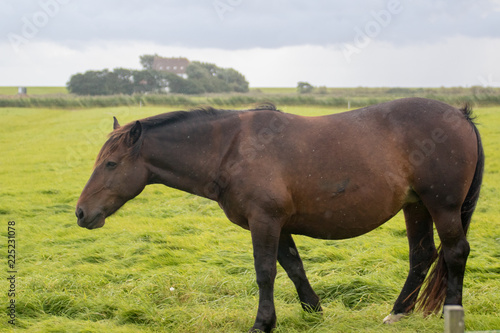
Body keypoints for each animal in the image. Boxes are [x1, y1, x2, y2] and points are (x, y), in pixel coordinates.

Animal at [76, 97, 482, 330]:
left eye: (111, 164)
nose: (81, 213)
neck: (232, 149)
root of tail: (460, 115)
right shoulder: (278, 224)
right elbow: (293, 266)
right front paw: (314, 311)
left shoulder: (265, 221)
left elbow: (266, 272)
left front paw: (263, 323)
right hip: (415, 205)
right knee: (422, 256)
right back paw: (398, 313)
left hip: (442, 205)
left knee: (454, 253)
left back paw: (451, 310)